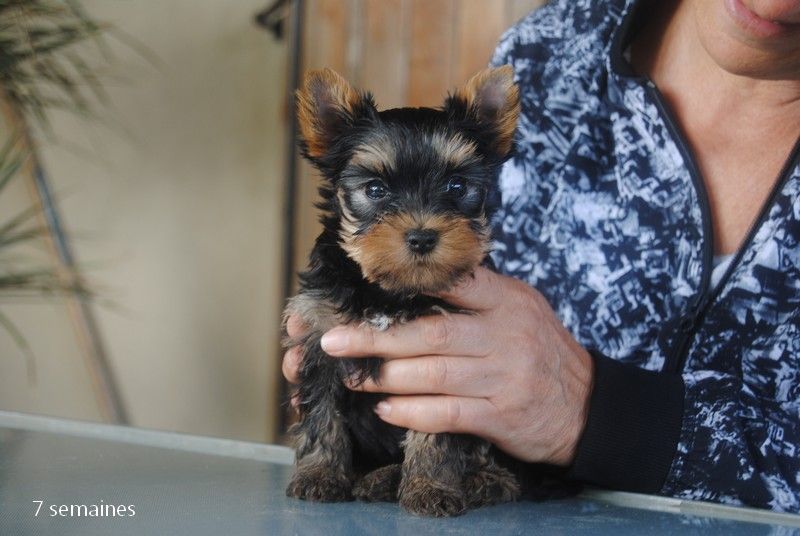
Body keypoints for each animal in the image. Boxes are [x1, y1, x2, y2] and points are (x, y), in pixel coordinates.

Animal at [284, 65, 520, 516]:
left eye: (456, 186)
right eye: (376, 190)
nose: (423, 236)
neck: (389, 291)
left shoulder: (443, 367)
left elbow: (436, 430)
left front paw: (430, 486)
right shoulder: (321, 336)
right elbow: (322, 414)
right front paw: (319, 474)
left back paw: (481, 480)